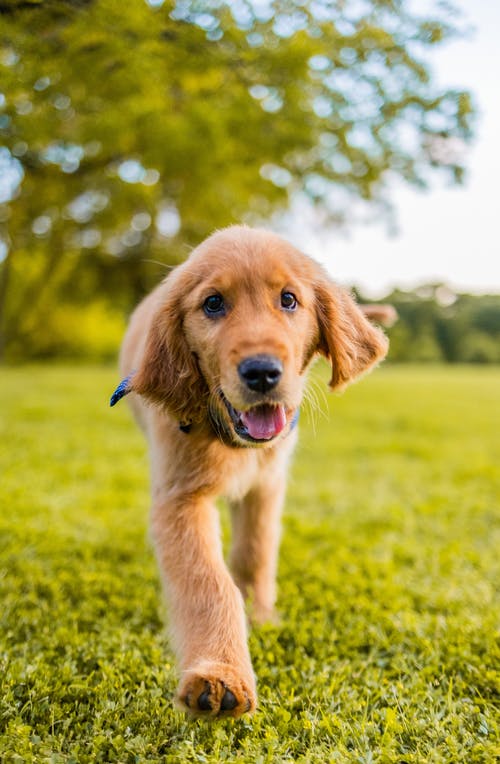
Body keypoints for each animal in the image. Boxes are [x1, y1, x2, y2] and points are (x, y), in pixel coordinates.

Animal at [111, 225, 388, 716]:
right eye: (213, 304)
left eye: (289, 300)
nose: (262, 372)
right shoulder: (180, 498)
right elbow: (209, 581)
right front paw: (219, 674)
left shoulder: (267, 483)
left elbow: (255, 551)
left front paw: (260, 615)